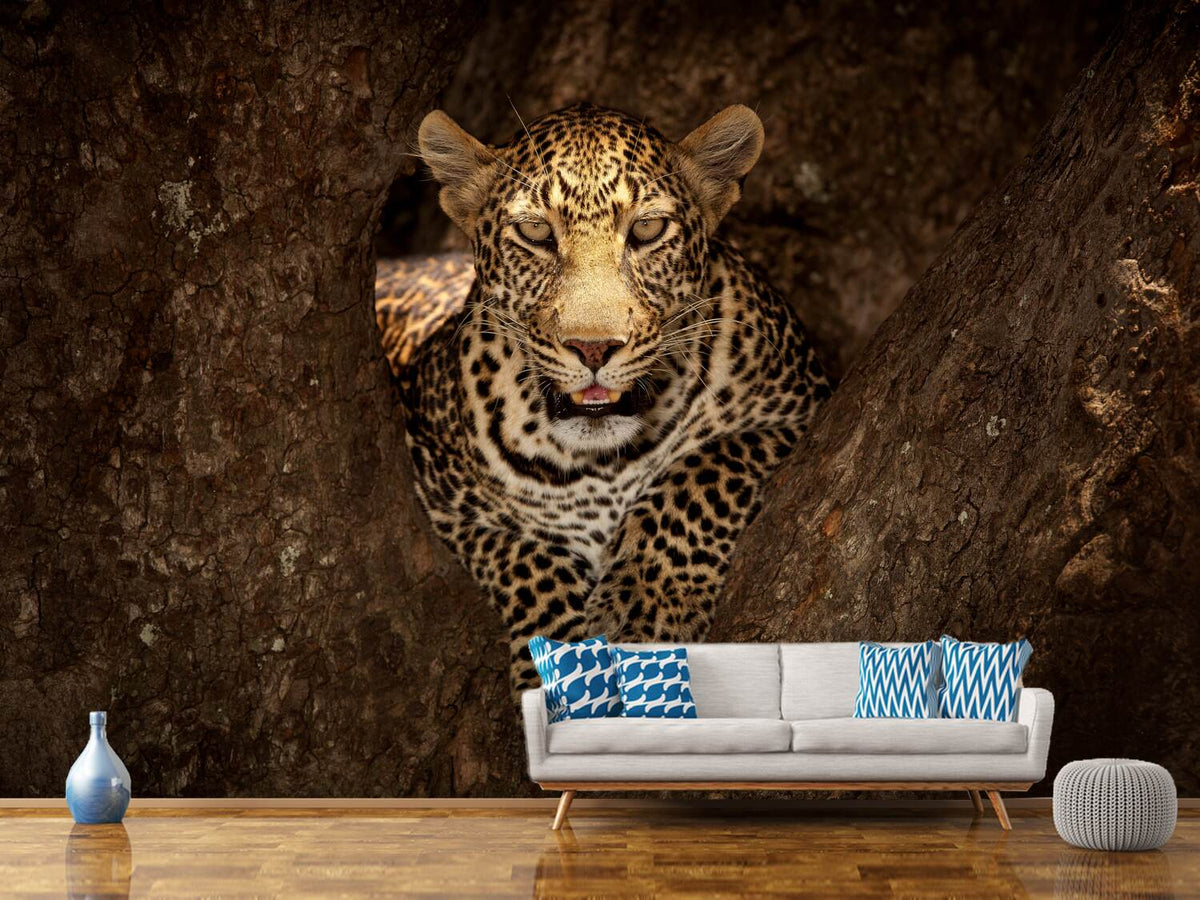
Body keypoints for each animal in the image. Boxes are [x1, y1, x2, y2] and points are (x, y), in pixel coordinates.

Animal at [378, 102, 831, 689]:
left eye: (647, 228)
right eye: (535, 232)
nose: (593, 347)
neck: (601, 464)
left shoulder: (799, 407)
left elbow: (702, 472)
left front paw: (644, 604)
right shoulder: (442, 493)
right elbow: (523, 554)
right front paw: (566, 660)